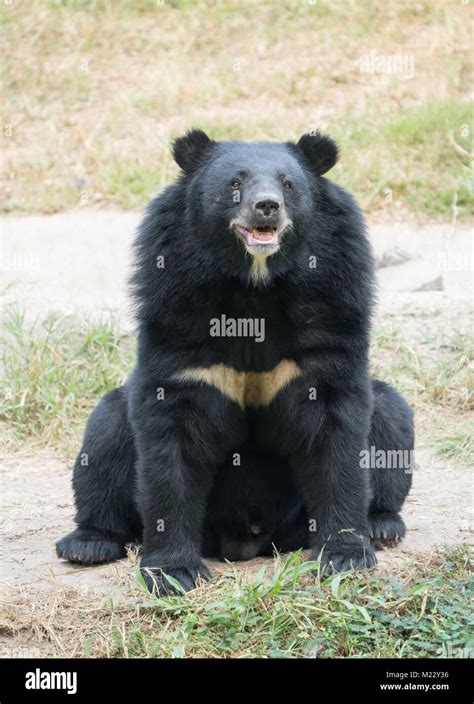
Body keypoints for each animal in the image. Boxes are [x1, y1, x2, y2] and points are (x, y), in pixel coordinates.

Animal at [55, 129, 412, 592]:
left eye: (288, 185)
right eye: (235, 184)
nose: (267, 206)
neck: (254, 286)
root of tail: (249, 540)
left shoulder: (334, 300)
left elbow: (338, 435)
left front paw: (345, 557)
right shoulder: (175, 309)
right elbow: (171, 442)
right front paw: (173, 572)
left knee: (389, 417)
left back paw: (383, 525)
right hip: (113, 425)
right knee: (104, 436)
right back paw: (88, 544)